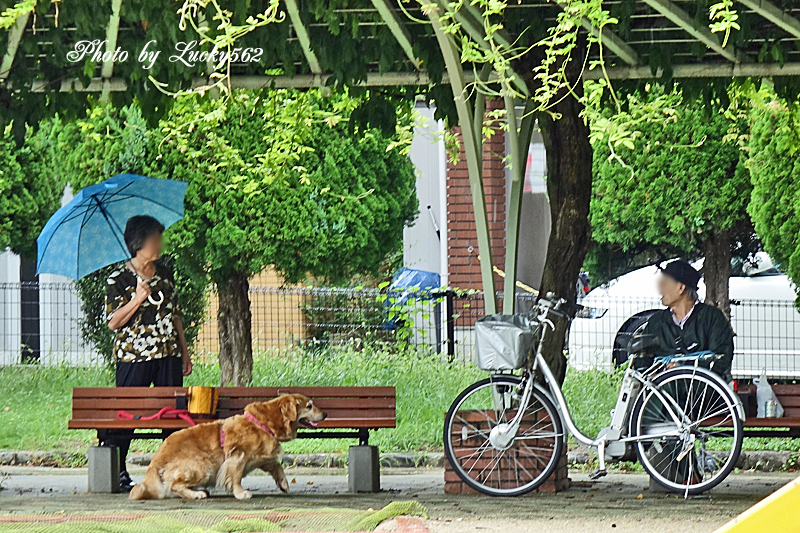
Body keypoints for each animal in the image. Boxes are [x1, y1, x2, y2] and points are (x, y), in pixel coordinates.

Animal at [128, 390, 324, 498]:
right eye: (309, 406)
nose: (326, 414)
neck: (264, 424)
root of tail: (154, 461)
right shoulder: (238, 456)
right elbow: (236, 476)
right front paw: (240, 493)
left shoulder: (263, 457)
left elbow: (277, 466)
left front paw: (283, 483)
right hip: (203, 466)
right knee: (174, 485)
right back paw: (196, 494)